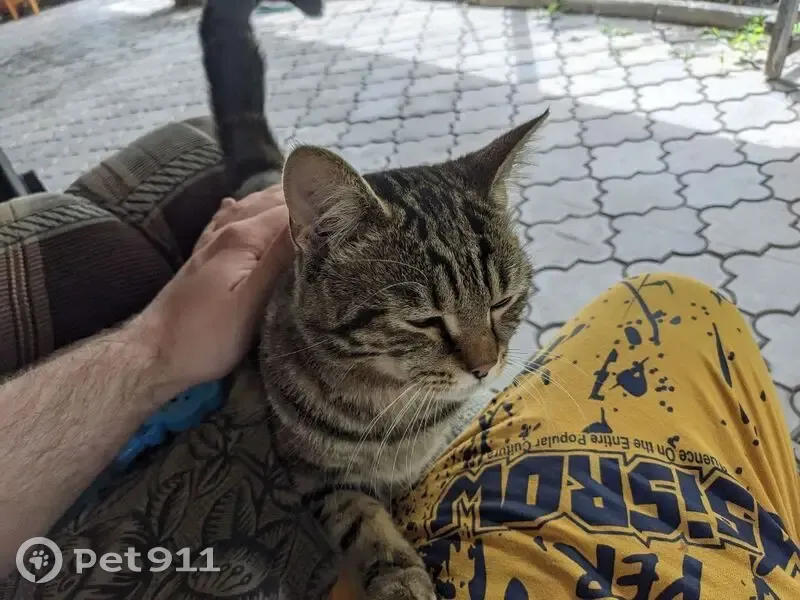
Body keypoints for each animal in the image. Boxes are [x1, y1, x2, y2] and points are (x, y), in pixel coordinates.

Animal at [200, 0, 546, 598]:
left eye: (503, 302)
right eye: (425, 320)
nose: (485, 368)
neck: (390, 407)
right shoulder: (313, 475)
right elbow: (360, 520)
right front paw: (399, 576)